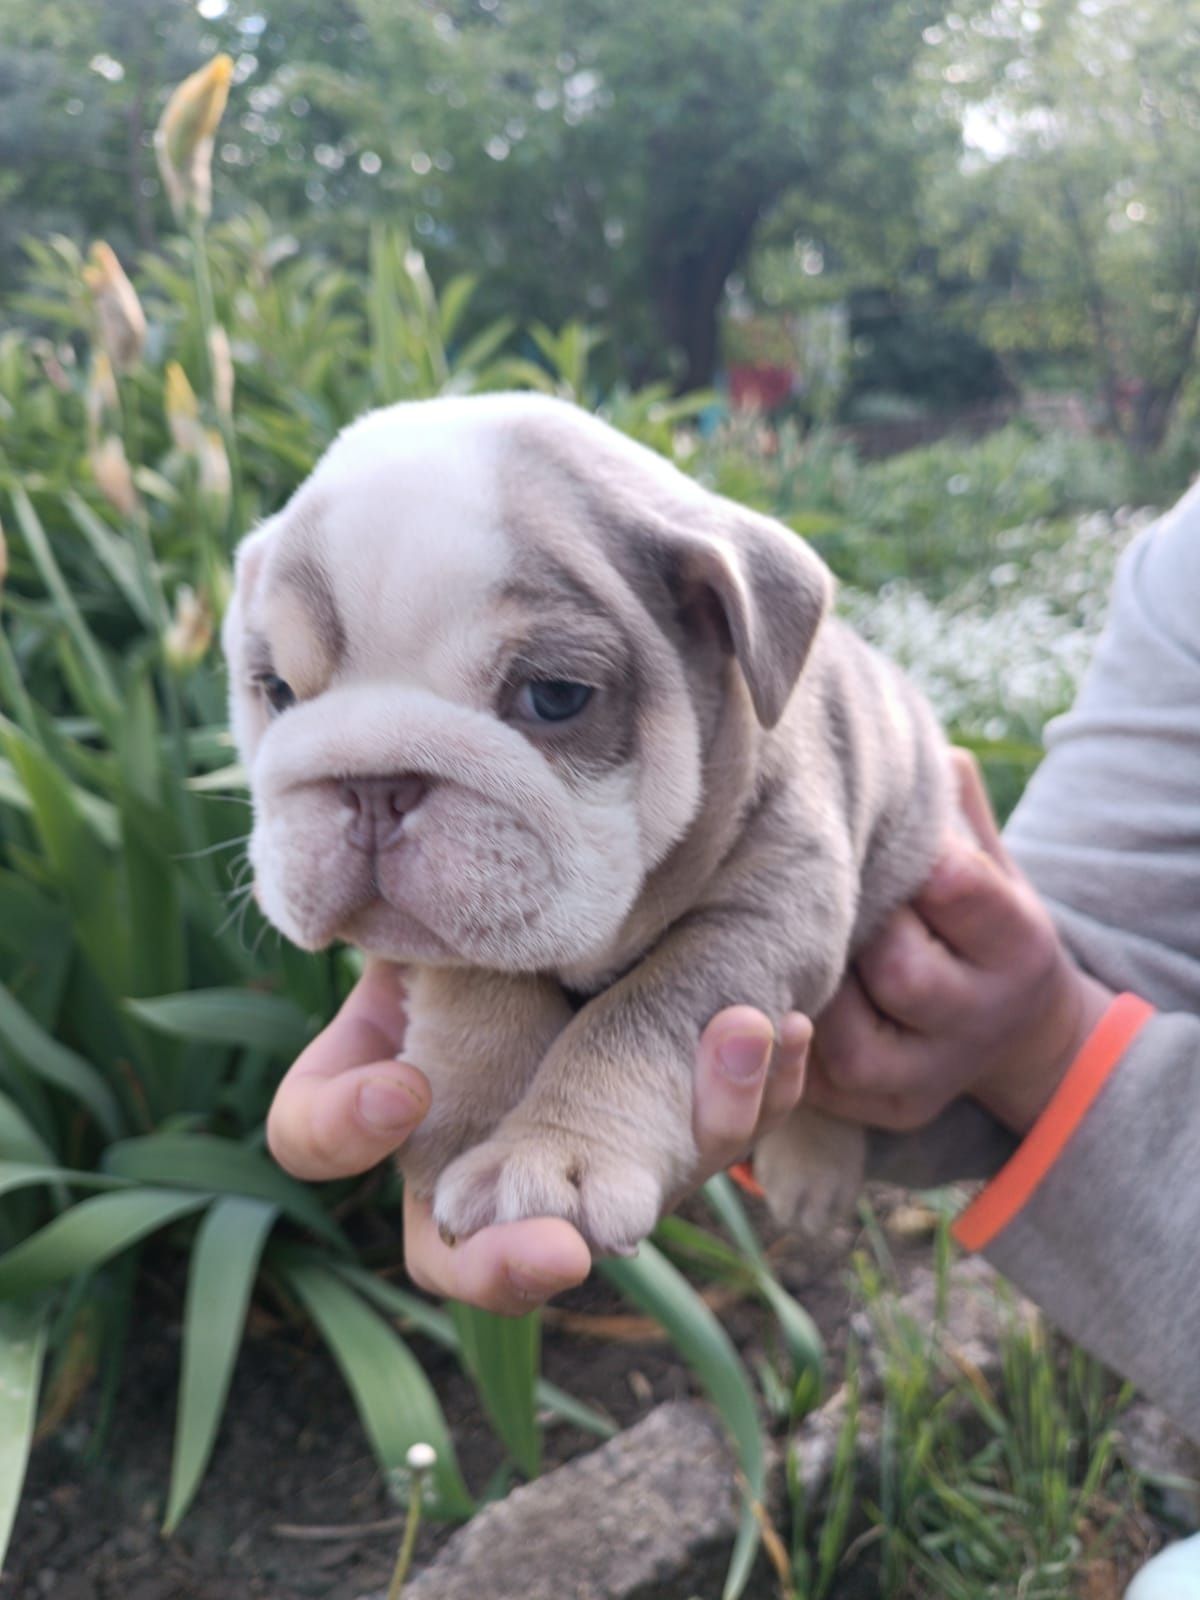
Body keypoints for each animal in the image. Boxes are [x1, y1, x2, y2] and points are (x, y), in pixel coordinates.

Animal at [224, 393, 960, 1254]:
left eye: (554, 696)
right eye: (275, 690)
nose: (374, 787)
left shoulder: (767, 912)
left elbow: (641, 1014)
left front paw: (552, 1152)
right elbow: (480, 974)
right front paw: (473, 1111)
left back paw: (813, 1169)